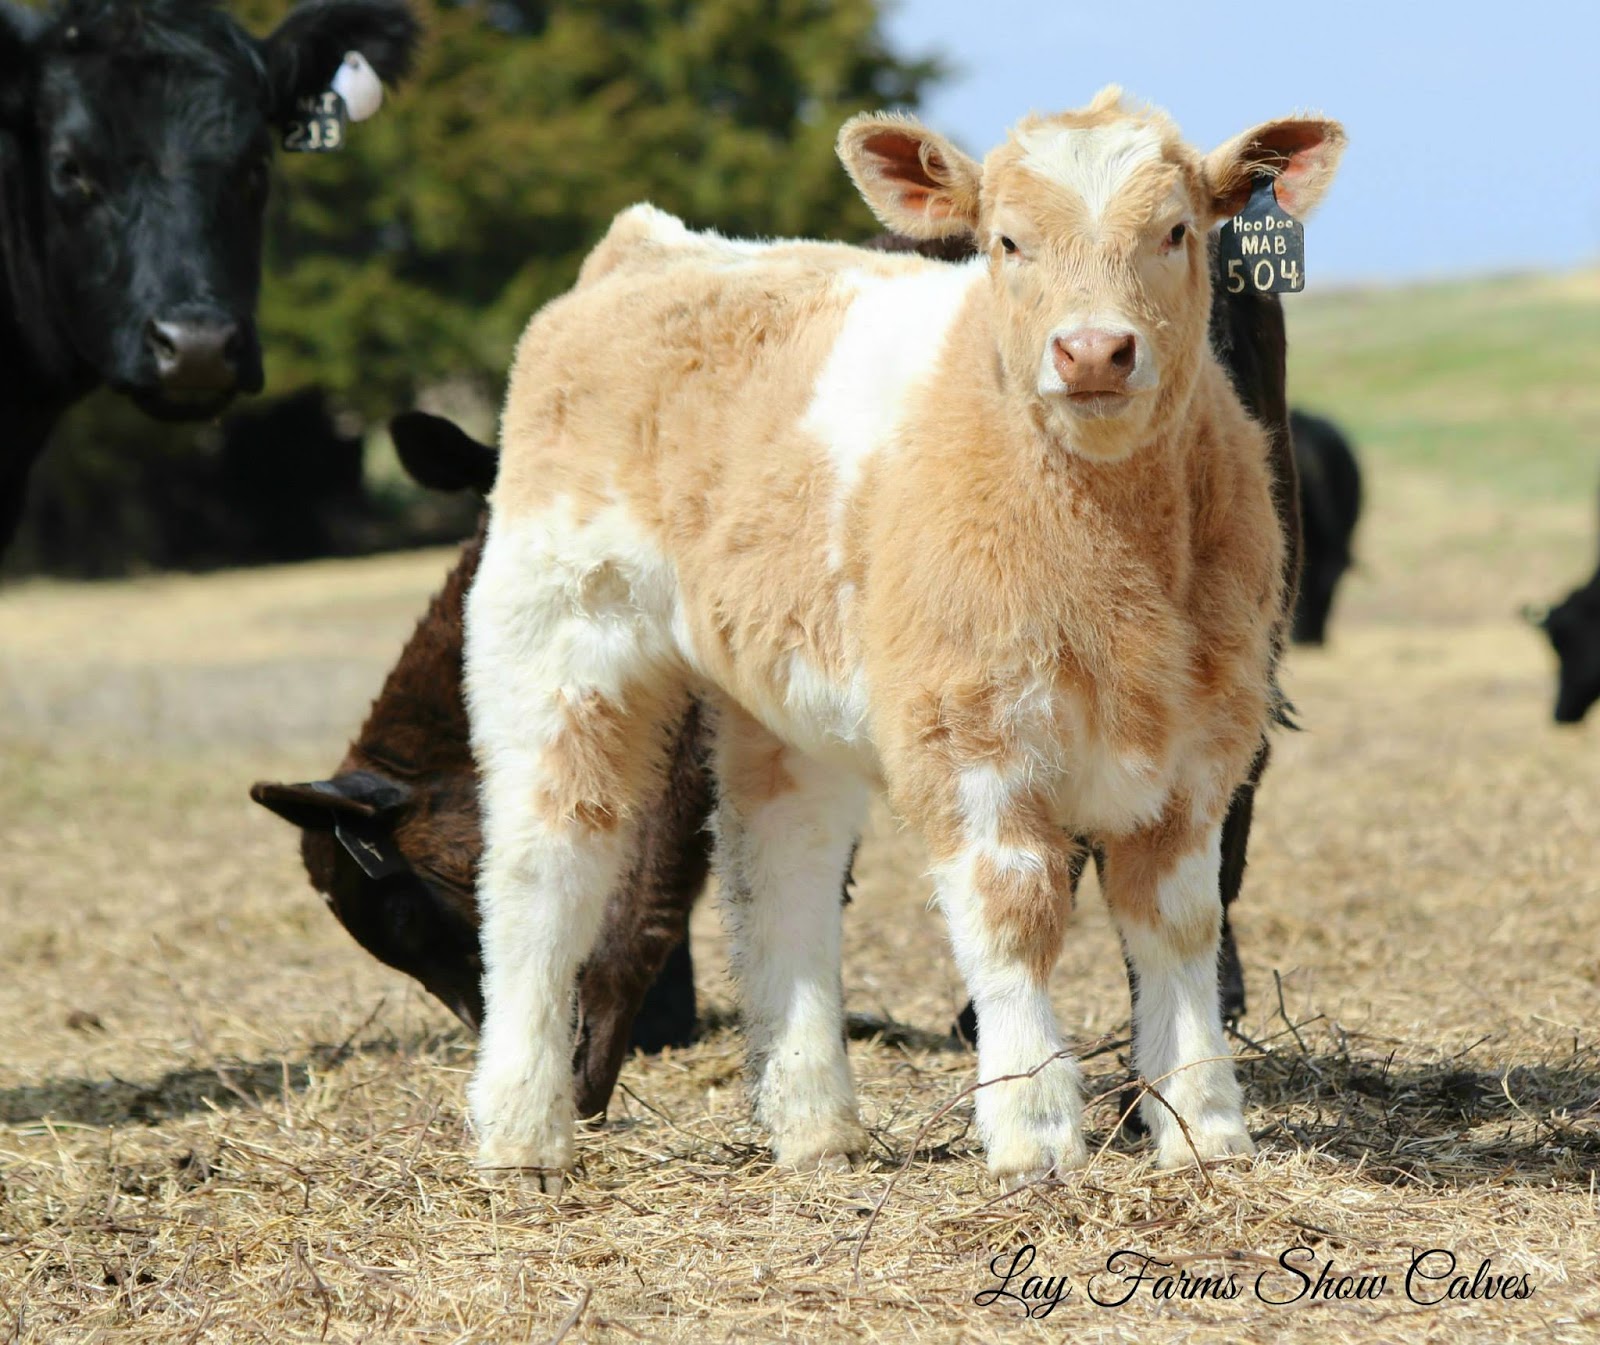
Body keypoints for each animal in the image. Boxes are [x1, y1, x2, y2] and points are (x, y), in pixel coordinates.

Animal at [462, 89, 1343, 1191]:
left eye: (1177, 231)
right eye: (1006, 240)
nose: (1094, 350)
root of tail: (652, 246)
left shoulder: (1202, 744)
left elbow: (1180, 922)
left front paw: (1204, 1129)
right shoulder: (969, 735)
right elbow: (1015, 913)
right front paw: (1034, 1133)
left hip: (781, 687)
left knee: (781, 865)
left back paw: (815, 1126)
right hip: (558, 637)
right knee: (545, 863)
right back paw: (521, 1134)